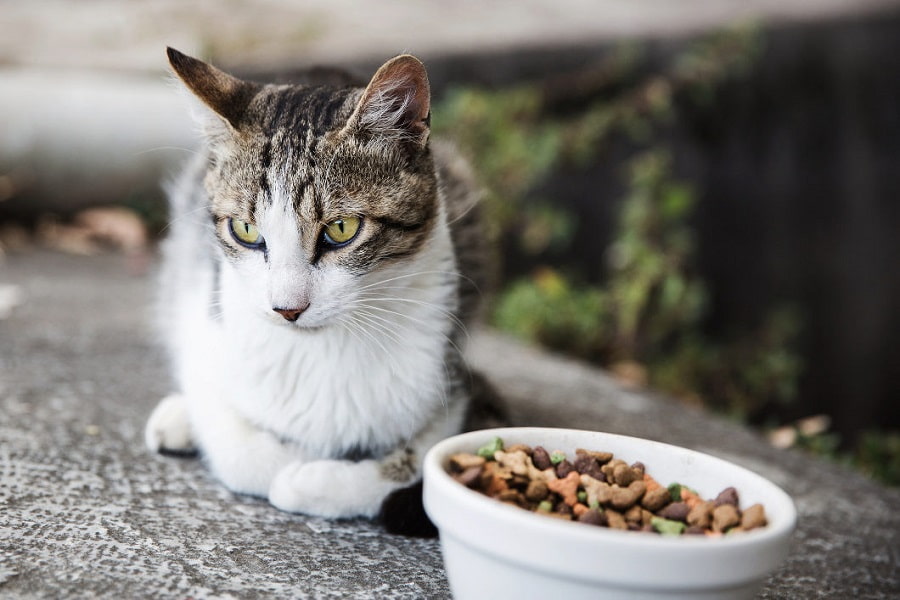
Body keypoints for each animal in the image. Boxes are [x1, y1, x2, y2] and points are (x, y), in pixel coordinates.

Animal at [144, 47, 502, 536]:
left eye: (342, 229)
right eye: (246, 230)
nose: (287, 309)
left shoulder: (449, 380)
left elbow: (421, 461)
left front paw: (313, 480)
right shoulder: (204, 318)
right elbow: (236, 443)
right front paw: (289, 463)